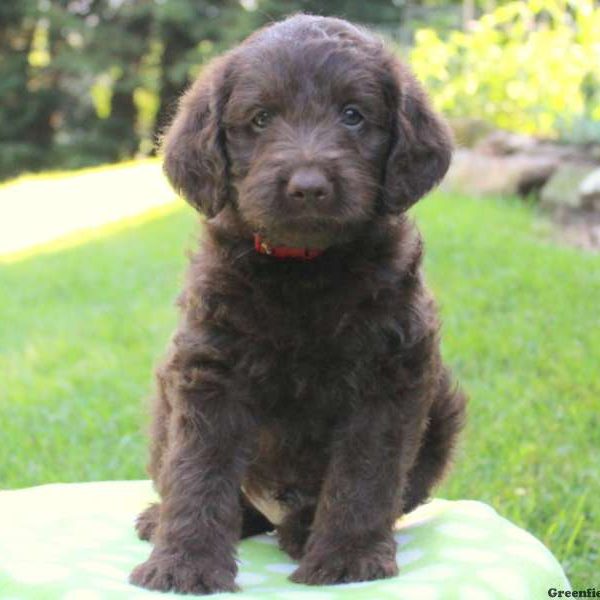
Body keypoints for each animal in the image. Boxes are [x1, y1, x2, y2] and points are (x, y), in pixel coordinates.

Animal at [130, 14, 468, 596]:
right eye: (261, 118)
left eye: (353, 115)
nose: (308, 187)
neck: (304, 268)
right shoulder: (210, 369)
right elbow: (198, 470)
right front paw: (185, 562)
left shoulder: (390, 374)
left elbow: (365, 474)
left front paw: (348, 556)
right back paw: (168, 520)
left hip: (441, 408)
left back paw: (301, 531)